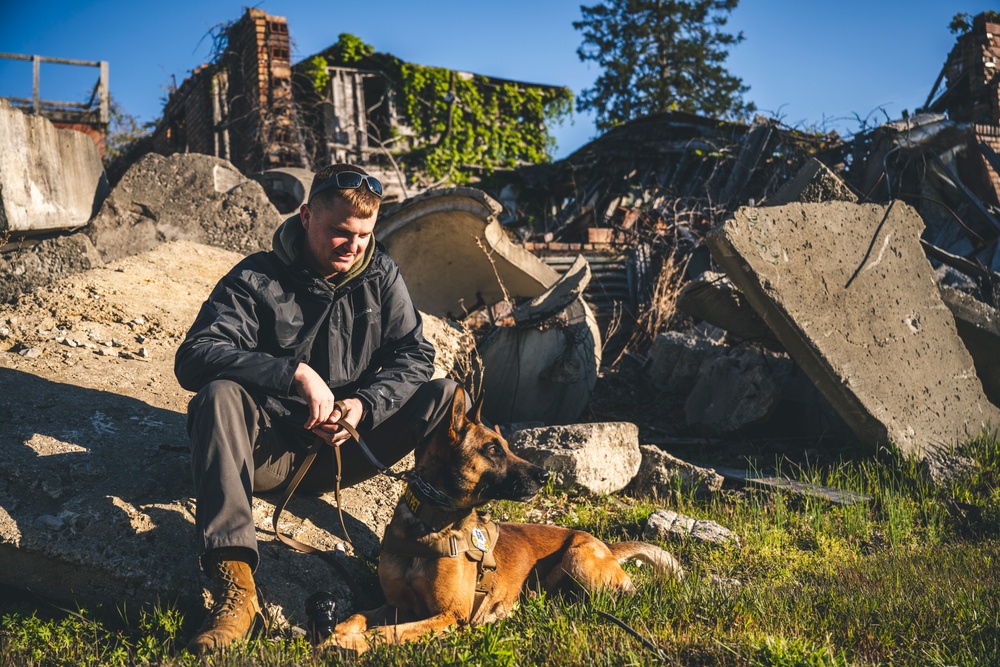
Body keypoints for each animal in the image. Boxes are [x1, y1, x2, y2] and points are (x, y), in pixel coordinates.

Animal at [324, 386, 684, 652]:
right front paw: (336, 635)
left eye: (507, 447)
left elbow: (390, 633)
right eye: (493, 449)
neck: (432, 522)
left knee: (629, 594)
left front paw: (351, 644)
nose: (545, 476)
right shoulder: (395, 605)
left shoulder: (449, 616)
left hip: (580, 558)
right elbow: (357, 616)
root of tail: (605, 545)